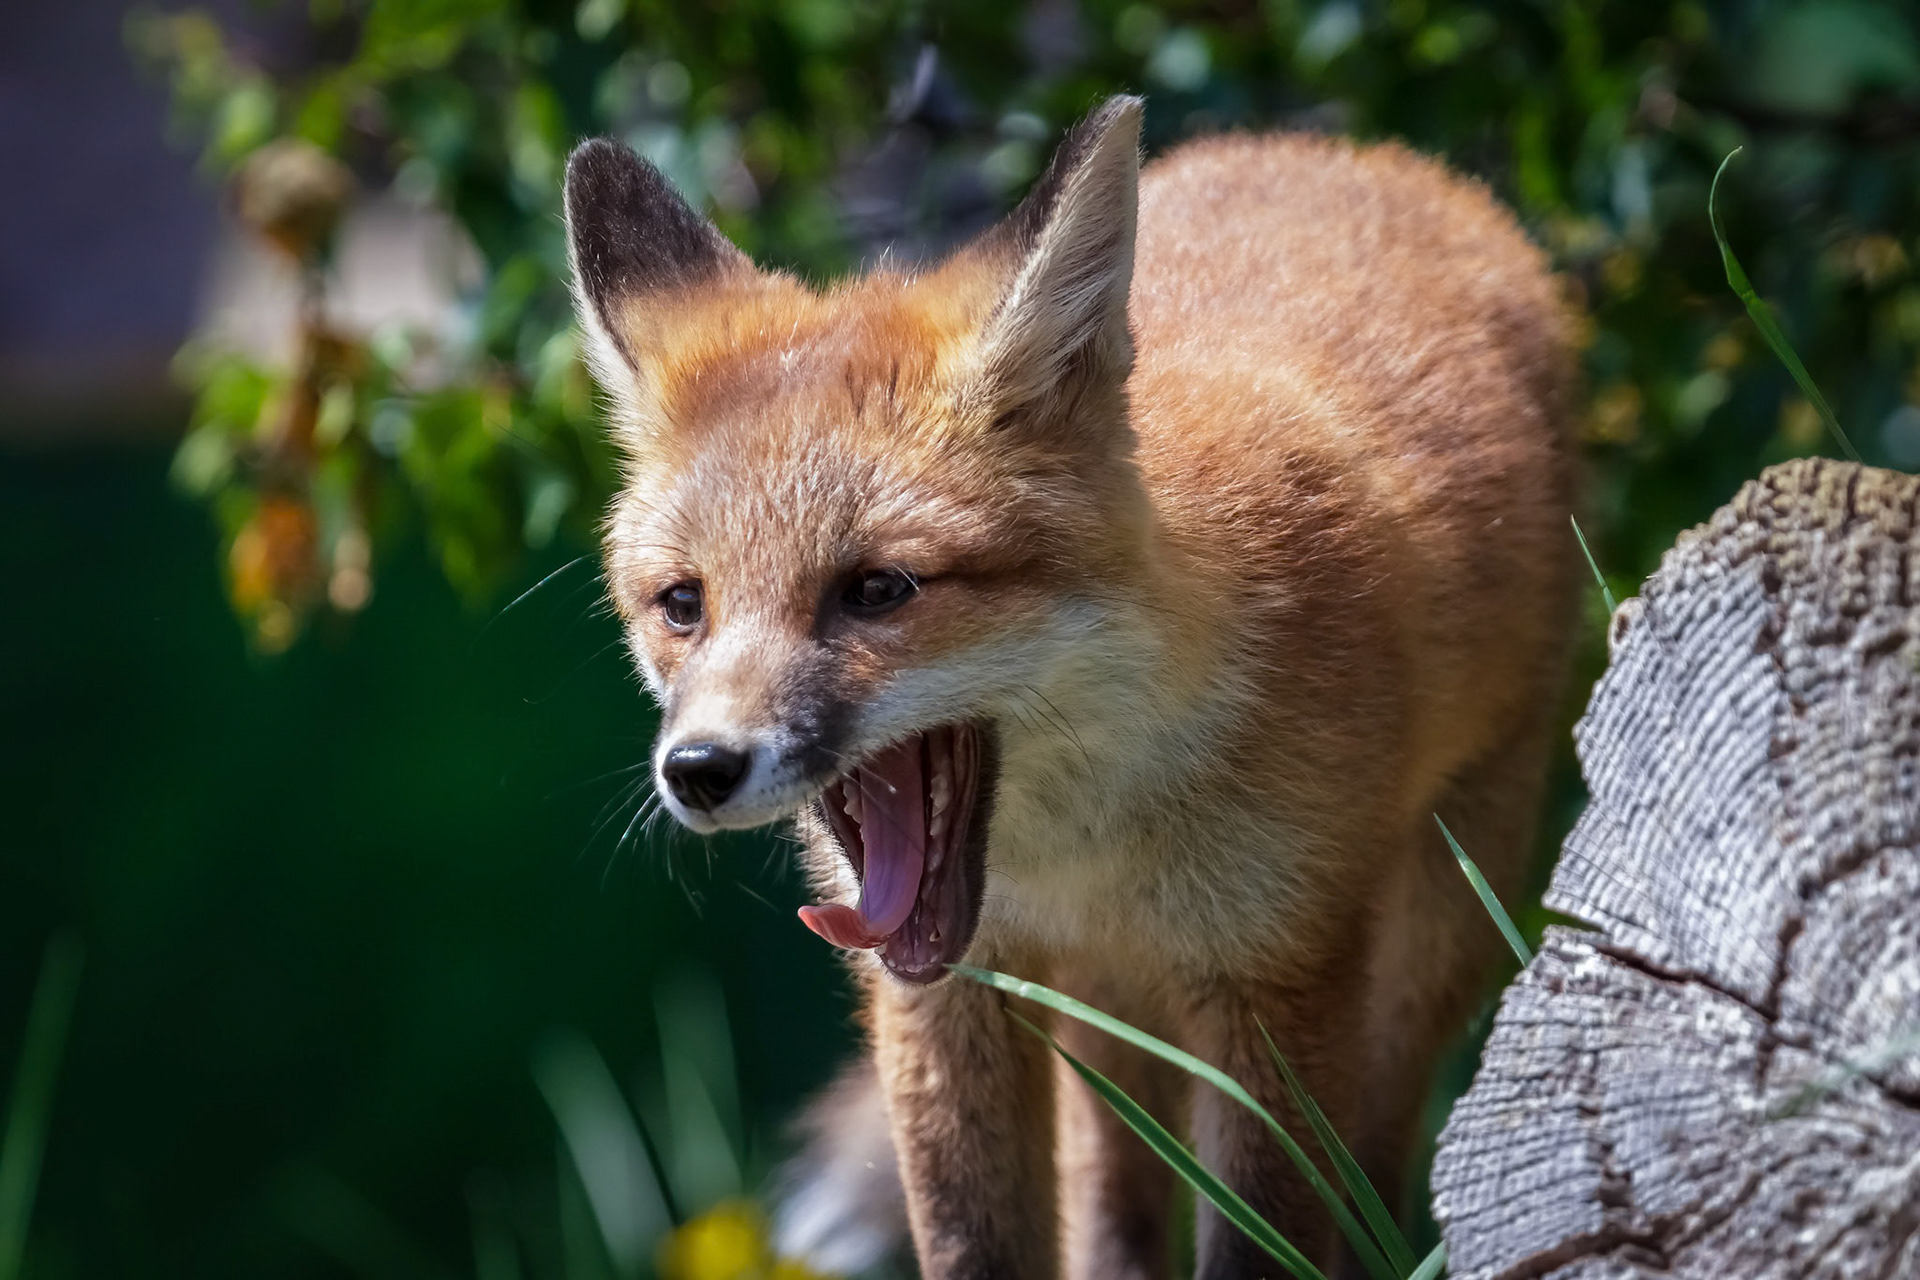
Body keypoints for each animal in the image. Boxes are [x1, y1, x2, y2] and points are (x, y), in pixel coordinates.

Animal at [563, 95, 1579, 1279]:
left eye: (877, 589)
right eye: (684, 604)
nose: (700, 769)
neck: (1089, 852)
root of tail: (1350, 153)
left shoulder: (1282, 970)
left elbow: (1264, 1237)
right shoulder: (948, 999)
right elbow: (973, 1240)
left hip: (1435, 933)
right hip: (1109, 1017)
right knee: (1116, 1207)